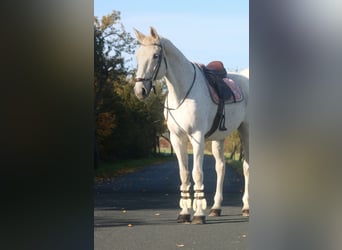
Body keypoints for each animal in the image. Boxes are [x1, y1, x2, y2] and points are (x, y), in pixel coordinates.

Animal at [133, 27, 248, 225]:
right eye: (137, 55)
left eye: (155, 55)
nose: (140, 91)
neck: (182, 93)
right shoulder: (176, 138)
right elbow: (184, 174)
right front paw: (185, 213)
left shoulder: (197, 137)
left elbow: (197, 173)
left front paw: (199, 214)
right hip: (219, 139)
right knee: (221, 167)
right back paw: (216, 208)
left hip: (247, 131)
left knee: (247, 168)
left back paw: (246, 207)